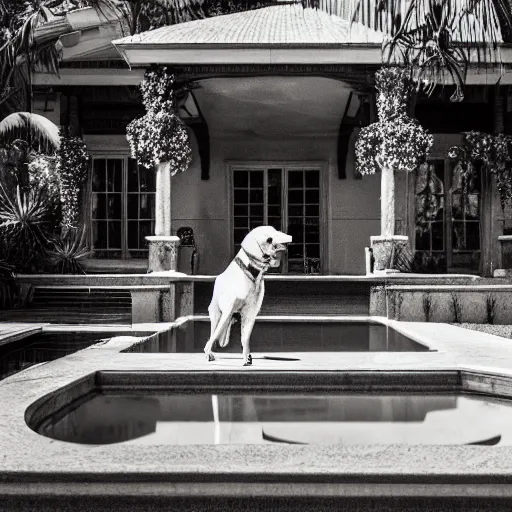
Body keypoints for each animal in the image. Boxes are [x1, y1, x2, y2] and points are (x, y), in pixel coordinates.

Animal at [203, 226, 292, 366]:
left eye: (276, 230)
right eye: (269, 239)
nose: (288, 238)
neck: (252, 274)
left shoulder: (250, 313)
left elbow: (245, 338)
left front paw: (246, 358)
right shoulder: (227, 310)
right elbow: (214, 335)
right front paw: (207, 353)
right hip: (217, 313)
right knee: (214, 331)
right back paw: (209, 352)